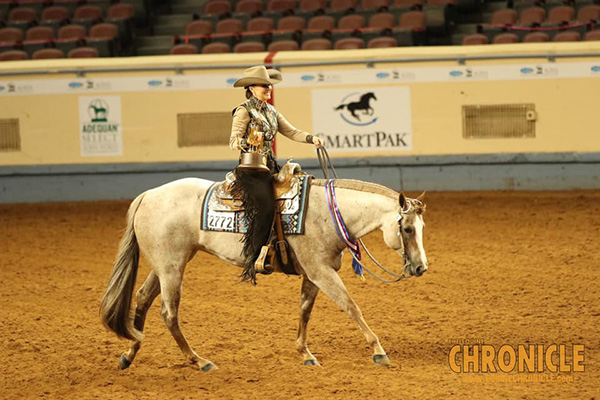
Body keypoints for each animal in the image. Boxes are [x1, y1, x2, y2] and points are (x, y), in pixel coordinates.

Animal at [99, 177, 426, 370]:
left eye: (421, 227)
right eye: (408, 229)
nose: (421, 267)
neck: (328, 212)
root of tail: (147, 195)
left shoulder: (313, 273)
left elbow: (305, 311)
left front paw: (305, 353)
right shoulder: (321, 271)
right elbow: (352, 306)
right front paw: (379, 351)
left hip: (167, 264)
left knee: (142, 298)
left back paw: (130, 352)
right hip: (171, 267)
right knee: (169, 313)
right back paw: (199, 360)